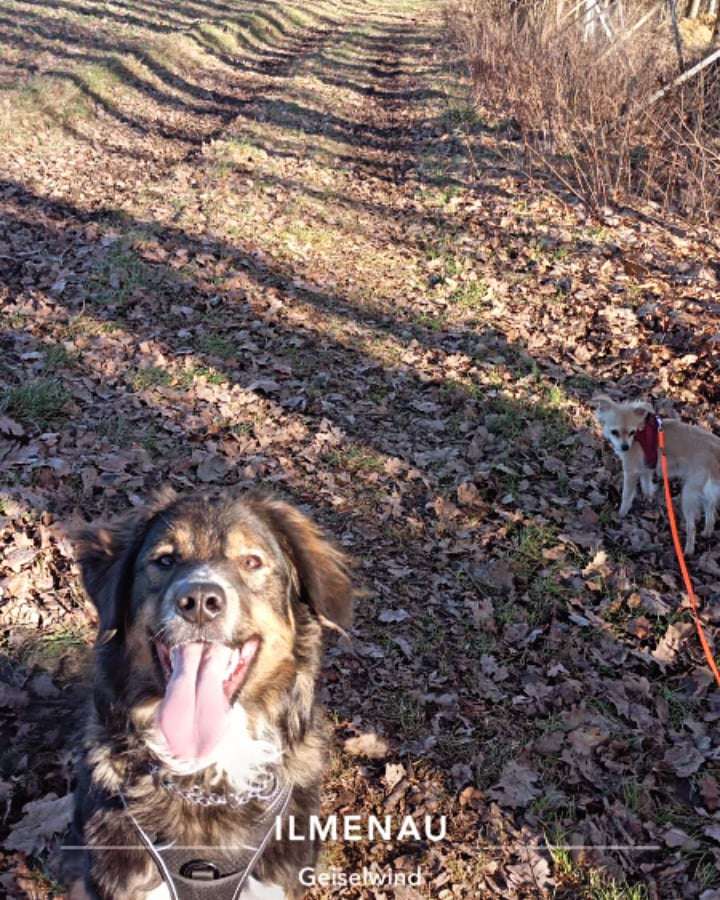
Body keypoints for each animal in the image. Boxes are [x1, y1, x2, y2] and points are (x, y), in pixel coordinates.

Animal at [592, 396, 720, 556]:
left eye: (632, 432)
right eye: (615, 432)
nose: (625, 447)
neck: (640, 433)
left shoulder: (630, 471)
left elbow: (626, 496)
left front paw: (621, 514)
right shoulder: (647, 467)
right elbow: (646, 485)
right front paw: (649, 499)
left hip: (689, 493)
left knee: (692, 526)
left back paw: (688, 550)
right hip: (706, 492)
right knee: (710, 515)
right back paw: (707, 533)